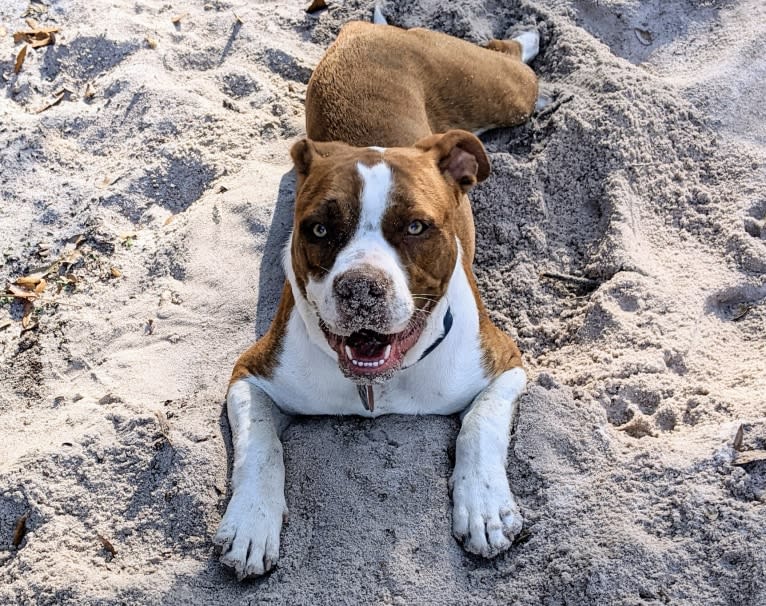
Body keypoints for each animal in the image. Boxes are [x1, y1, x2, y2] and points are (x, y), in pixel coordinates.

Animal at [213, 10, 544, 580]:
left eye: (415, 227)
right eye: (319, 230)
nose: (360, 286)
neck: (377, 385)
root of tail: (361, 29)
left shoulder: (505, 363)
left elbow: (479, 423)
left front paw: (482, 507)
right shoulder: (251, 374)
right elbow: (261, 444)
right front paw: (252, 522)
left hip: (505, 92)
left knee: (509, 57)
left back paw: (530, 33)